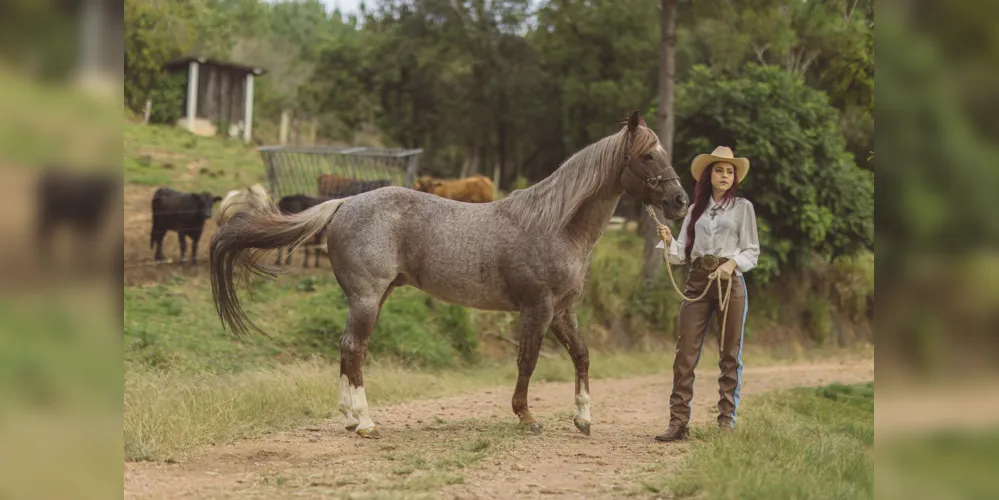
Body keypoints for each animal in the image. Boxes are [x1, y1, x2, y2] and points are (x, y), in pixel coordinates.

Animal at [211, 112, 692, 438]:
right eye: (648, 155)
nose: (680, 201)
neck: (556, 224)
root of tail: (344, 203)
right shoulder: (536, 308)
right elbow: (528, 360)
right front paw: (526, 415)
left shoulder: (562, 311)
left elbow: (582, 356)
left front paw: (584, 417)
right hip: (366, 299)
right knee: (354, 349)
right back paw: (364, 422)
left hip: (374, 298)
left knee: (347, 351)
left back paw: (350, 419)